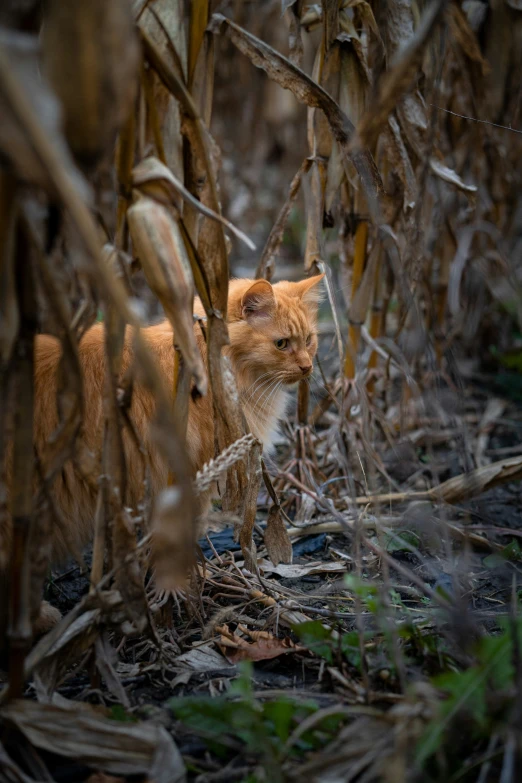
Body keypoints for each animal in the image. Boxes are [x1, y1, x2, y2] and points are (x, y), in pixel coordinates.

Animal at [0, 278, 322, 636]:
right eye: (282, 344)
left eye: (309, 340)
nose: (307, 366)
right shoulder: (187, 480)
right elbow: (178, 543)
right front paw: (183, 586)